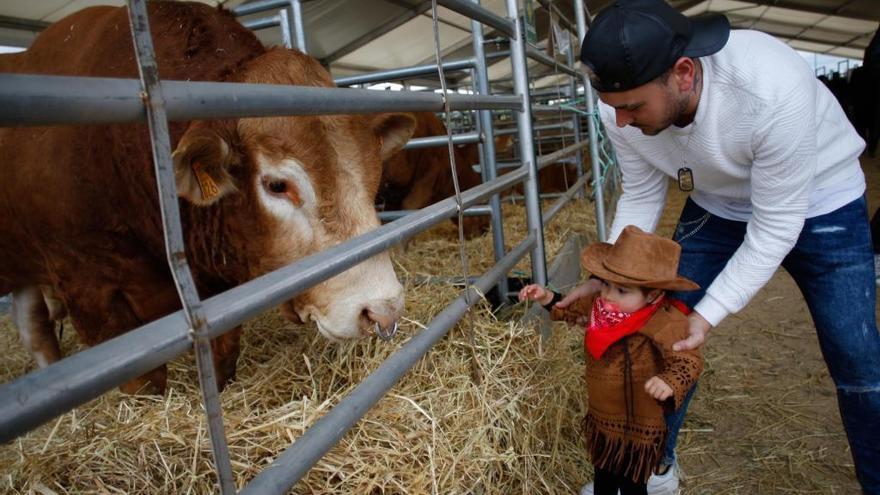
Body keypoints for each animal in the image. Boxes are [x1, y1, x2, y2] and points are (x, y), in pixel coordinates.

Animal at [0, 0, 416, 396]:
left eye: (373, 172)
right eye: (277, 186)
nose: (382, 311)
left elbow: (224, 358)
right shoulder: (90, 290)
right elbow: (146, 385)